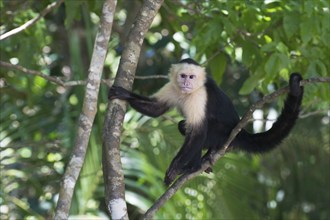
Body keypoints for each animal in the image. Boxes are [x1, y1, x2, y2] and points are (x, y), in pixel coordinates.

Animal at [109, 58, 304, 186]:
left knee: (199, 131)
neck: (188, 92)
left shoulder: (200, 96)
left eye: (192, 77)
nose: (186, 83)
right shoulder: (172, 87)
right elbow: (156, 109)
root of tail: (240, 131)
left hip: (224, 133)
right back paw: (203, 159)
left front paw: (174, 169)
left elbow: (198, 132)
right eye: (183, 75)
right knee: (184, 127)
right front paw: (124, 94)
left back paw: (196, 163)